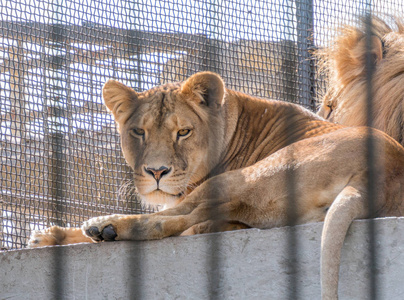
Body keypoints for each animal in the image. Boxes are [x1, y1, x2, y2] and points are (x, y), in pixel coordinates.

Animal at [28, 71, 404, 298]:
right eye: (138, 131)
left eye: (183, 131)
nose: (156, 171)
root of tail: (379, 176)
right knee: (199, 218)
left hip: (244, 177)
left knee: (175, 219)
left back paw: (104, 227)